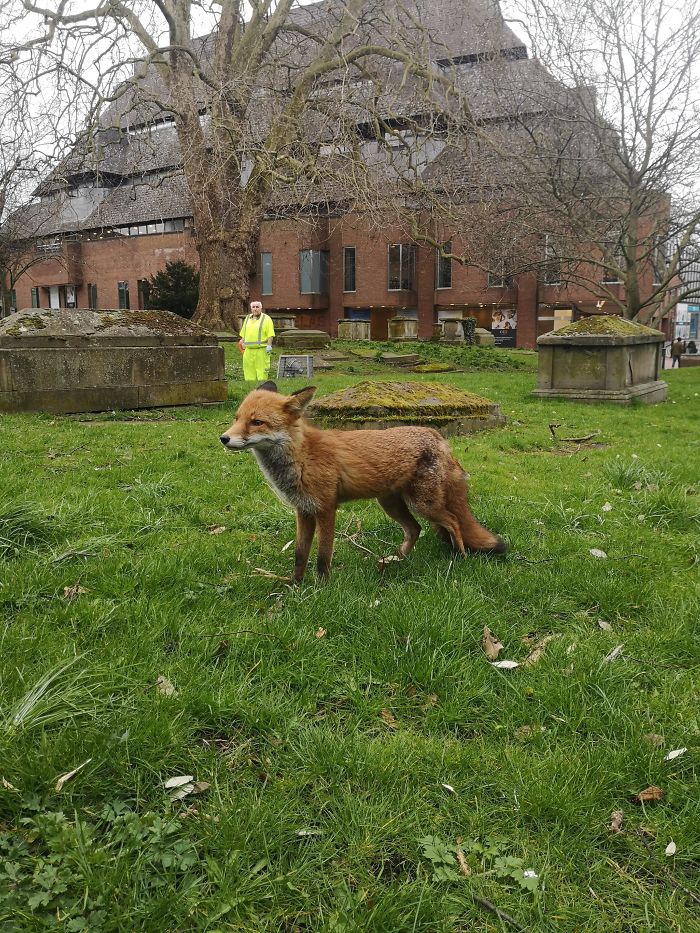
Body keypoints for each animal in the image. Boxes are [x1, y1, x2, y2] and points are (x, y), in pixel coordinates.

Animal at [219, 381, 506, 582]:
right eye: (237, 418)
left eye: (257, 422)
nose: (223, 438)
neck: (301, 457)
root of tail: (437, 436)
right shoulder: (304, 510)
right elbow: (300, 554)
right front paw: (294, 586)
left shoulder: (326, 509)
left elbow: (322, 556)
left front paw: (321, 589)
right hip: (391, 504)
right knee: (415, 529)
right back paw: (396, 560)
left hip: (424, 504)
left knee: (454, 522)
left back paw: (460, 557)